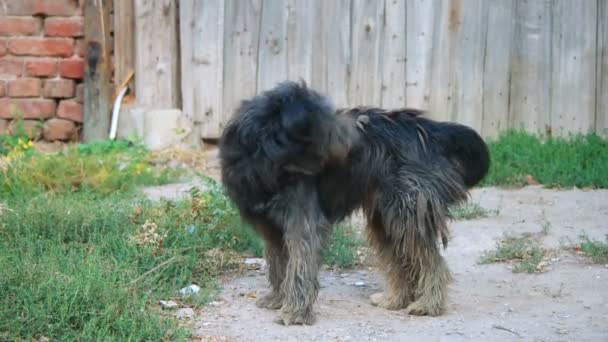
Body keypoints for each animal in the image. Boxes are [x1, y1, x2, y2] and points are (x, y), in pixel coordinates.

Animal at [218, 81, 490, 326]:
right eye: (323, 125)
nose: (362, 127)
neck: (267, 162)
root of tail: (428, 129)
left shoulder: (303, 222)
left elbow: (299, 267)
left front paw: (295, 313)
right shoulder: (272, 229)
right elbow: (278, 265)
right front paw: (277, 299)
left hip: (407, 211)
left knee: (431, 260)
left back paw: (428, 305)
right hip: (386, 219)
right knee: (401, 258)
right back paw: (394, 300)